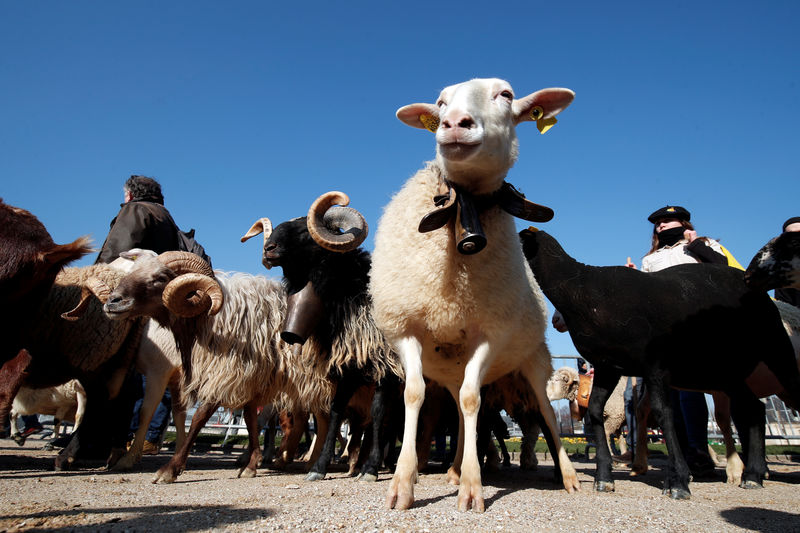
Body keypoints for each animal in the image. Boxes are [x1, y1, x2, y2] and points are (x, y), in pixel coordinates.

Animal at [368, 77, 580, 510]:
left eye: (506, 95)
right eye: (440, 102)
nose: (453, 123)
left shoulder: (492, 332)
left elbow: (472, 402)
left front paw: (472, 486)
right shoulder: (406, 328)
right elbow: (416, 396)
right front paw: (403, 482)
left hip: (534, 360)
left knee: (545, 413)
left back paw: (567, 476)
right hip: (454, 368)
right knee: (466, 407)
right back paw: (451, 469)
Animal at [520, 227, 800, 496]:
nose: (555, 321)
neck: (581, 286)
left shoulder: (655, 365)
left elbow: (664, 413)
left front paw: (678, 482)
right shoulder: (608, 365)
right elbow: (597, 410)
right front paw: (604, 478)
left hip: (776, 351)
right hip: (726, 371)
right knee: (754, 410)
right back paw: (752, 476)